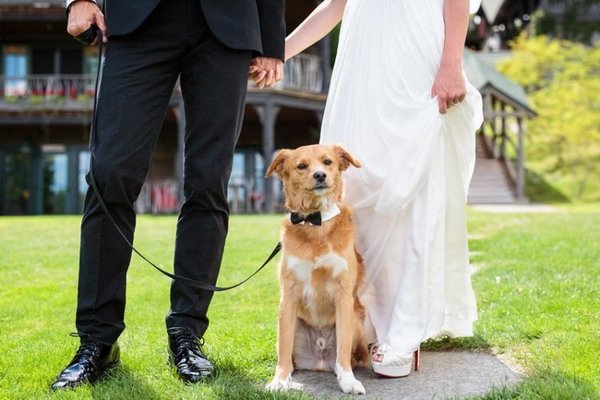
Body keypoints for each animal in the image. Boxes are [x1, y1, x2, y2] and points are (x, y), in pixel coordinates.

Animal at [264, 143, 368, 394]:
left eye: (327, 162)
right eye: (301, 166)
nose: (320, 175)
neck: (315, 221)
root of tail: (320, 361)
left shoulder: (343, 293)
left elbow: (343, 349)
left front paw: (348, 380)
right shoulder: (288, 294)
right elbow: (283, 349)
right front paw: (280, 380)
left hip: (357, 322)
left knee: (348, 355)